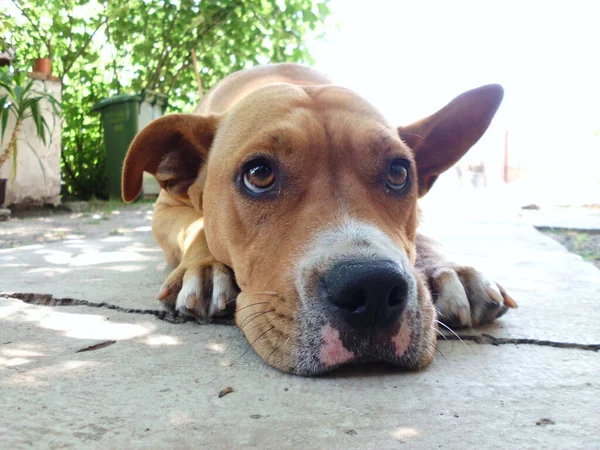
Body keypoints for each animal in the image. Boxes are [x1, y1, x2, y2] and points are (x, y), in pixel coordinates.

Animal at [120, 61, 516, 374]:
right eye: (259, 174)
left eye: (399, 172)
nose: (372, 287)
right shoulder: (166, 209)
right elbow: (197, 226)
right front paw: (204, 268)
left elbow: (424, 237)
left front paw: (451, 270)